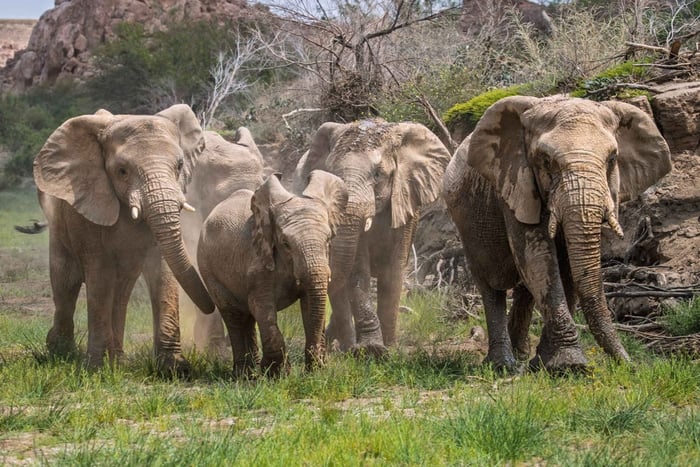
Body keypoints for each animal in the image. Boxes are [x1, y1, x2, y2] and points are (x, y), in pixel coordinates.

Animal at [33, 104, 215, 372]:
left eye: (180, 165)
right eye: (122, 171)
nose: (212, 306)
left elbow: (164, 269)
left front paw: (175, 368)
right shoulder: (88, 204)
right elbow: (99, 276)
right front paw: (95, 370)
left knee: (121, 291)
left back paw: (117, 361)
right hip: (58, 224)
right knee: (66, 283)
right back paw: (62, 353)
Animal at [197, 171, 348, 377]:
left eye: (328, 239)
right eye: (285, 243)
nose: (316, 364)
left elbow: (310, 304)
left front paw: (316, 371)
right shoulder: (257, 262)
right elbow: (262, 307)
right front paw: (278, 375)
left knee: (247, 317)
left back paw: (251, 373)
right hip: (207, 268)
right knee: (233, 314)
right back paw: (244, 375)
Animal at [294, 120, 451, 352]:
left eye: (378, 174)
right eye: (330, 172)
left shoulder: (406, 204)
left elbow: (393, 272)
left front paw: (390, 349)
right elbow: (358, 272)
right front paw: (371, 349)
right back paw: (346, 346)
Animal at [443, 95, 672, 372]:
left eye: (612, 159)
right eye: (546, 160)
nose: (632, 367)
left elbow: (567, 266)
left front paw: (551, 364)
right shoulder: (516, 186)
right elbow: (538, 258)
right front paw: (569, 366)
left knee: (524, 286)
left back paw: (523, 358)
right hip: (465, 220)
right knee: (491, 283)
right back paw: (503, 365)